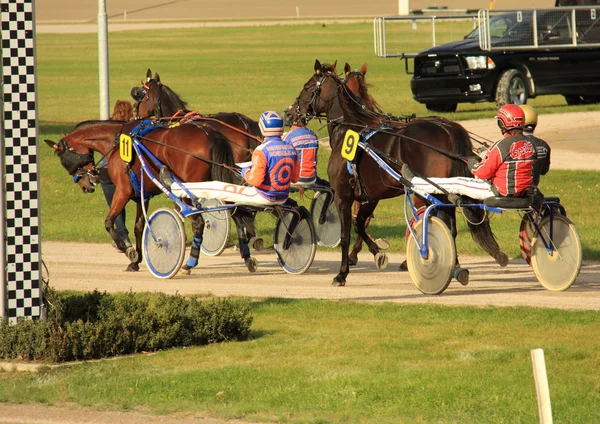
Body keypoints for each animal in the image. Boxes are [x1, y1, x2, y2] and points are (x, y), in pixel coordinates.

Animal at [44, 119, 255, 274]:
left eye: (64, 160)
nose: (86, 186)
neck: (117, 141)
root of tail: (208, 132)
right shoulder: (141, 195)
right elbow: (138, 226)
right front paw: (135, 260)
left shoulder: (123, 190)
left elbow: (109, 222)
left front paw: (127, 250)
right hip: (217, 181)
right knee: (237, 214)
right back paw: (247, 257)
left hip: (188, 188)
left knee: (199, 223)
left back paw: (189, 263)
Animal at [290, 58, 506, 284]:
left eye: (307, 87)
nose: (290, 112)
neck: (351, 130)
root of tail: (447, 128)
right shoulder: (371, 196)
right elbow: (360, 223)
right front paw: (377, 253)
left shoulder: (343, 195)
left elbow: (346, 234)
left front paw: (342, 273)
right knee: (450, 228)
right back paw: (454, 267)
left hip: (430, 192)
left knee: (440, 224)